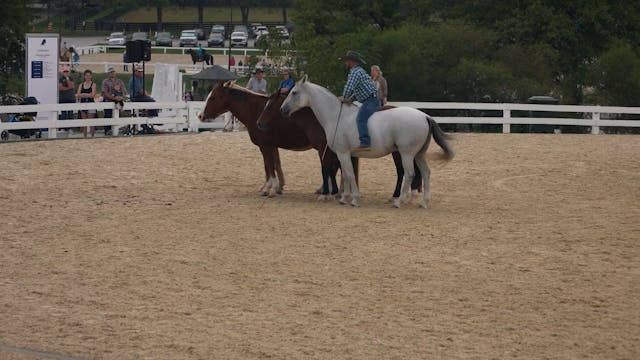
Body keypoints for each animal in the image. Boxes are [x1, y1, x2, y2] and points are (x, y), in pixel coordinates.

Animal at [200, 81, 350, 197]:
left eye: (212, 97)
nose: (200, 116)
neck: (256, 111)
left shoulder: (265, 146)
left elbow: (269, 166)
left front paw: (269, 189)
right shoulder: (271, 146)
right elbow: (273, 165)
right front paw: (275, 187)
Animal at [258, 93, 422, 200]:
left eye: (270, 106)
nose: (259, 123)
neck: (322, 119)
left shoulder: (325, 150)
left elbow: (327, 169)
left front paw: (329, 192)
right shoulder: (335, 151)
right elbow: (336, 170)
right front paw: (337, 191)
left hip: (399, 152)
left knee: (401, 172)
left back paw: (397, 195)